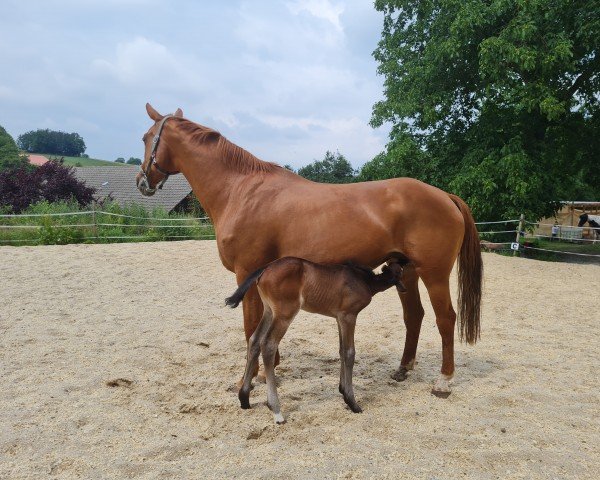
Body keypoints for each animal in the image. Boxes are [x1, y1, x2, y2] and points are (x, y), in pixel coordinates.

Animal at [136, 105, 482, 398]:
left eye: (146, 137)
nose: (143, 181)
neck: (242, 190)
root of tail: (444, 196)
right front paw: (270, 368)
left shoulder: (246, 274)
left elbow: (250, 328)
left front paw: (251, 378)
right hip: (405, 271)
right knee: (414, 316)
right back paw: (403, 369)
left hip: (434, 273)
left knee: (445, 318)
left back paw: (443, 381)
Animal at [227, 258, 406, 424]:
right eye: (400, 272)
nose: (404, 288)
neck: (364, 280)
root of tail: (267, 268)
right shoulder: (348, 316)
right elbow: (349, 353)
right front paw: (352, 401)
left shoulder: (339, 318)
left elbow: (341, 350)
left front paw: (342, 390)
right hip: (285, 314)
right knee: (268, 344)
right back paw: (276, 411)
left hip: (269, 311)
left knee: (254, 340)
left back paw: (244, 398)